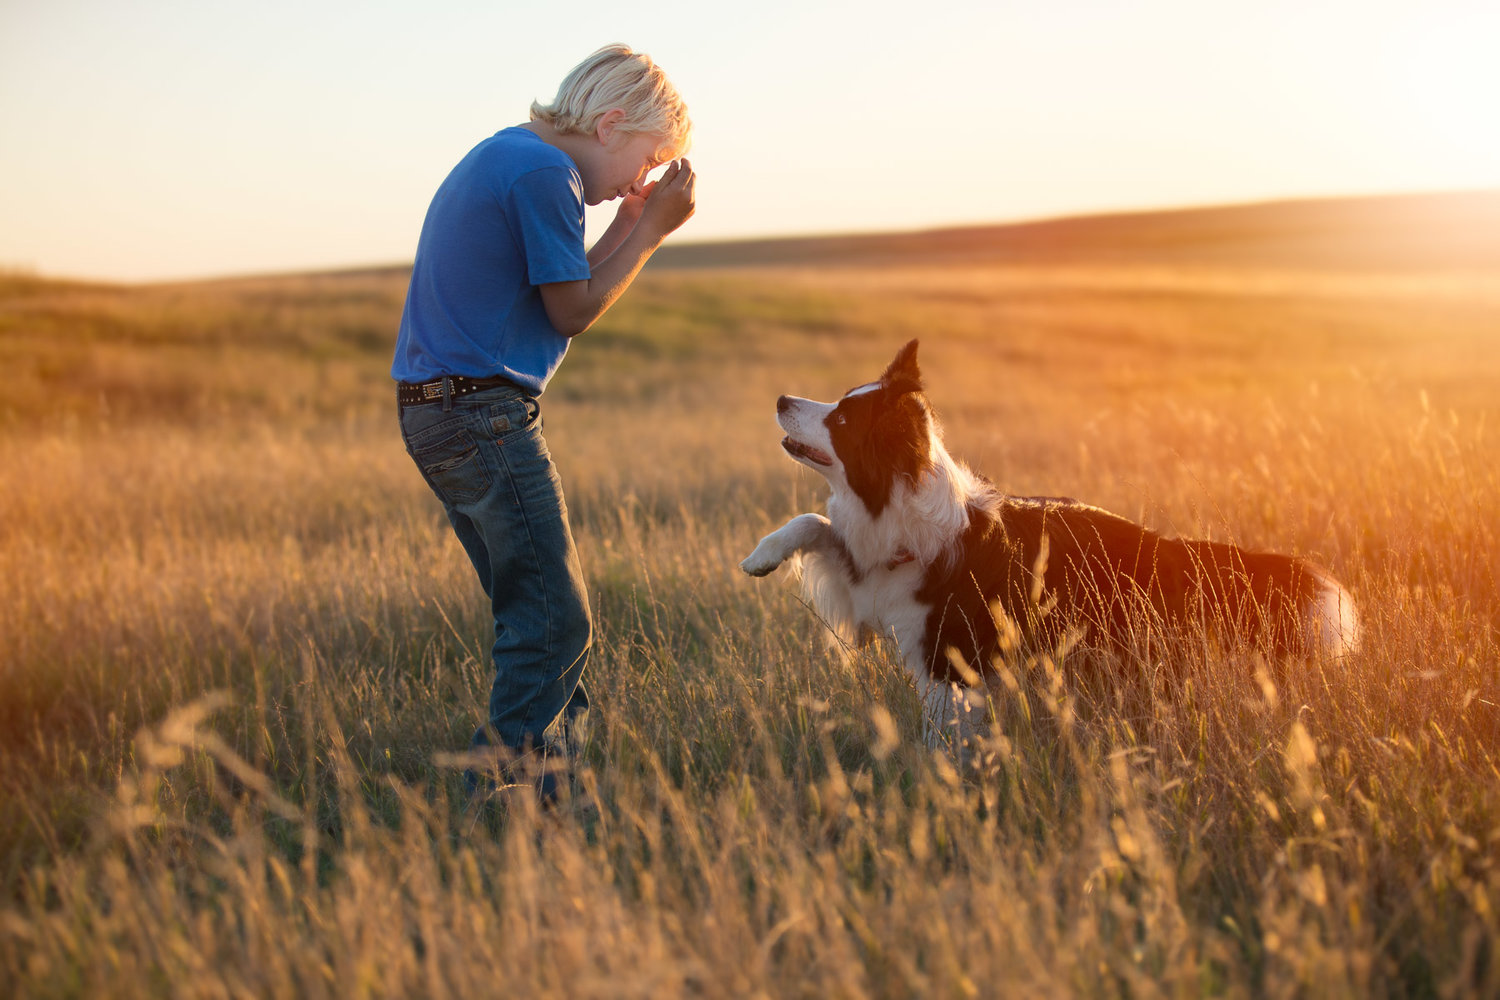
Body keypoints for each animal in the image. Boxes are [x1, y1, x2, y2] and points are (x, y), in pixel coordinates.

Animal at [738, 340, 1362, 746]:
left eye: (842, 420)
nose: (780, 399)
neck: (897, 507)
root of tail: (1169, 547)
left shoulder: (948, 656)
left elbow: (944, 729)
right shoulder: (868, 585)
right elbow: (815, 523)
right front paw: (760, 556)